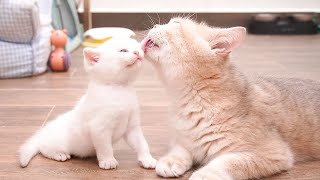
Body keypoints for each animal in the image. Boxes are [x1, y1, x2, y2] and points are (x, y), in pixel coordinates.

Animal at [18, 37, 156, 169]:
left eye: (138, 47)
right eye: (123, 50)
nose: (137, 52)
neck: (121, 89)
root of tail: (42, 133)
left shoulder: (132, 127)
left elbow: (142, 143)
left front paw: (147, 159)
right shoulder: (99, 128)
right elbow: (105, 148)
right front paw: (108, 161)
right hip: (55, 142)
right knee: (44, 149)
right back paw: (59, 154)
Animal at [142, 17, 320, 179]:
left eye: (176, 23)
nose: (155, 25)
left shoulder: (273, 153)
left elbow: (228, 162)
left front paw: (205, 173)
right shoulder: (183, 138)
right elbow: (181, 148)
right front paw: (171, 161)